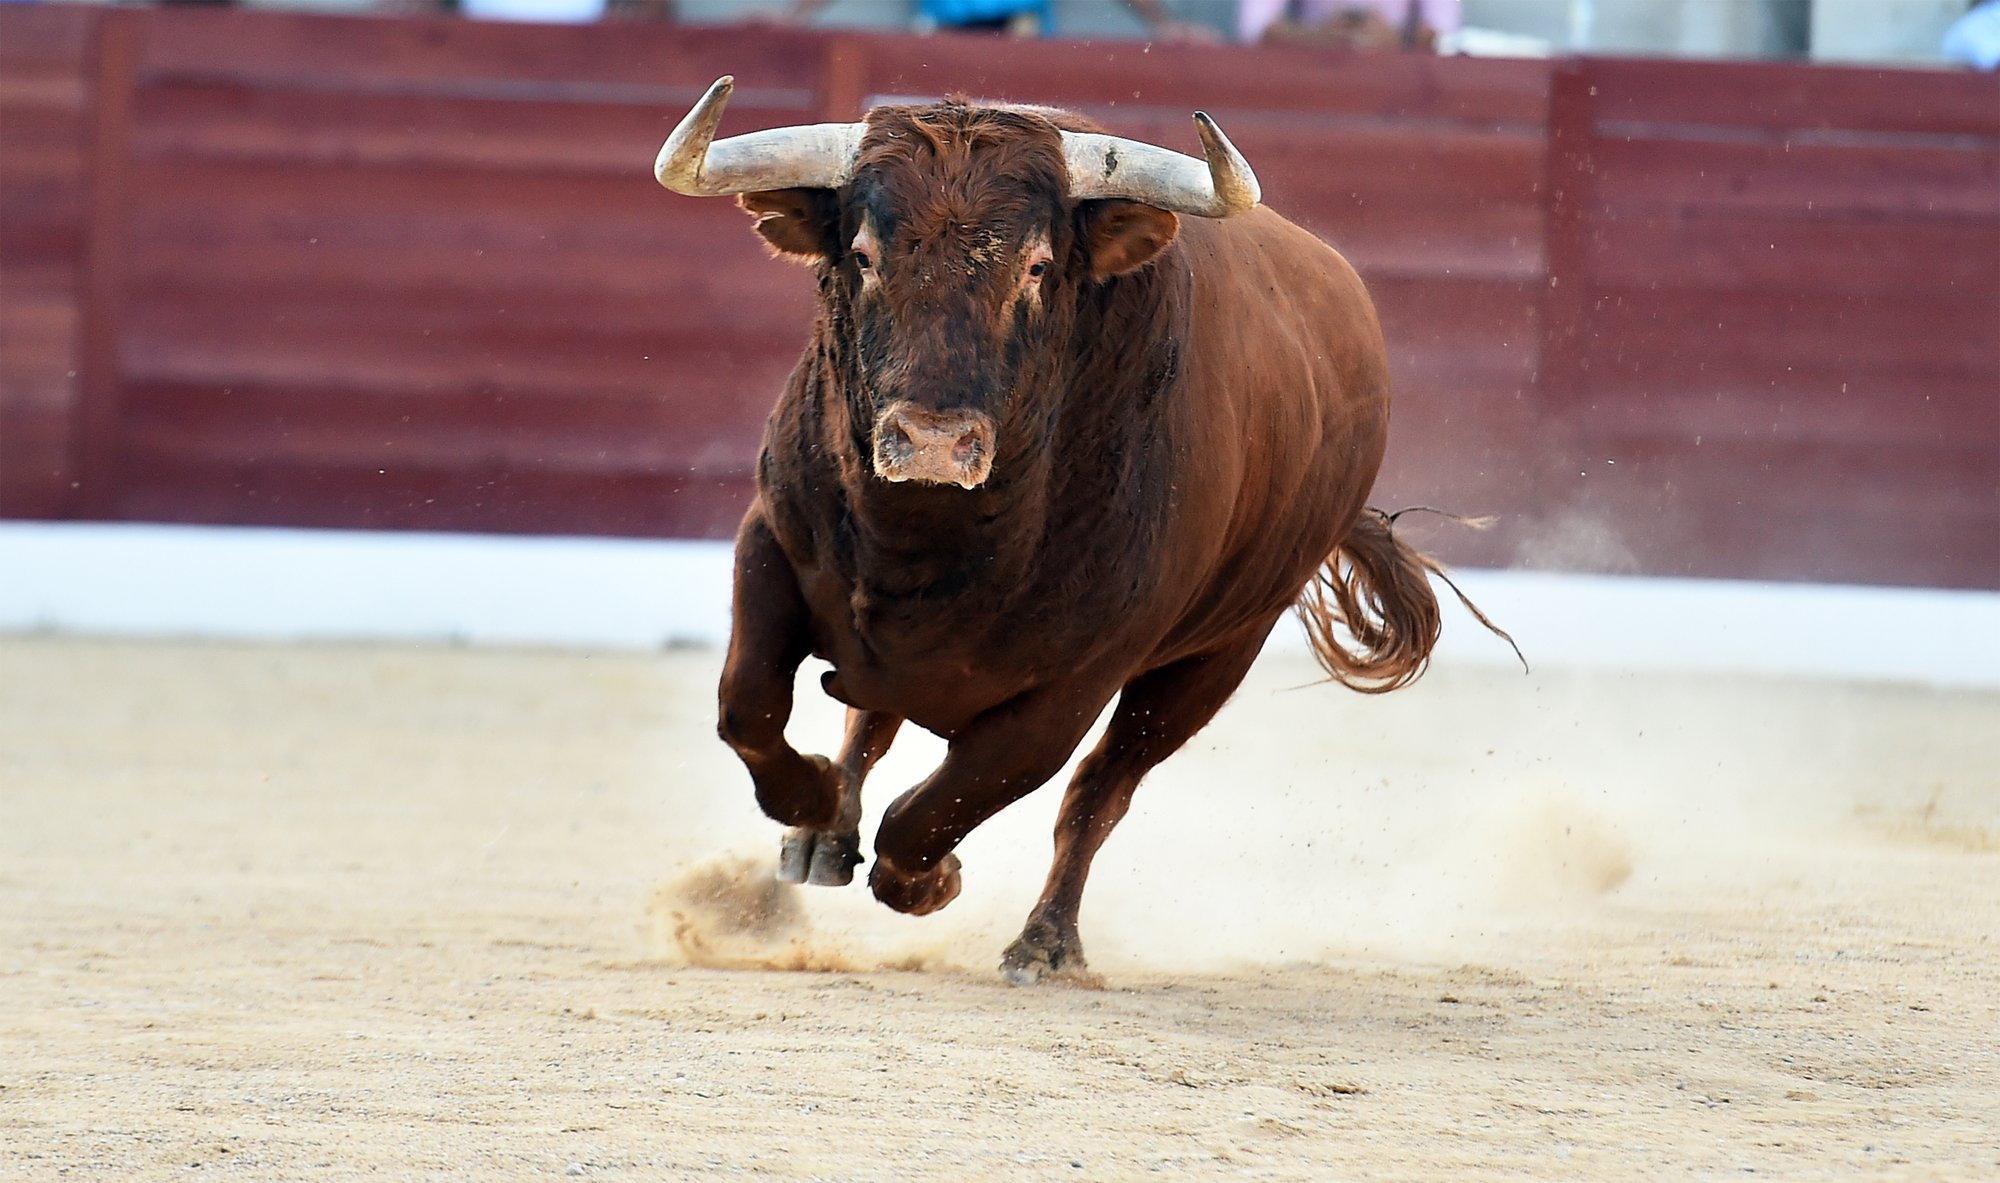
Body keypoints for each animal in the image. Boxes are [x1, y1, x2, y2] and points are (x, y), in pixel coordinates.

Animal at [655, 76, 1510, 984]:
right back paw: (818, 842)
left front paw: (927, 882)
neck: (925, 538)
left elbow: (951, 803)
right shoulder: (771, 543)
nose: (932, 441)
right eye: (862, 256)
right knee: (871, 722)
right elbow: (748, 704)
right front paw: (816, 806)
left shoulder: (1077, 683)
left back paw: (1046, 941)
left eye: (1036, 266)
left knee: (1101, 789)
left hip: (1215, 655)